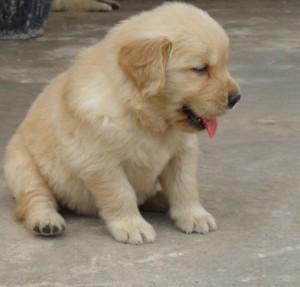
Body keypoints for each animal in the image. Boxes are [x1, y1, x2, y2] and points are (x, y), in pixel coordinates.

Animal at [3, 2, 240, 245]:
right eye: (200, 69)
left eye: (224, 64)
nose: (236, 98)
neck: (142, 113)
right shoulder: (100, 161)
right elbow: (121, 193)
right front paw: (132, 226)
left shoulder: (183, 151)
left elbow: (185, 184)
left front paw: (194, 215)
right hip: (21, 165)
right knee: (36, 196)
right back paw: (46, 221)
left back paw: (160, 198)